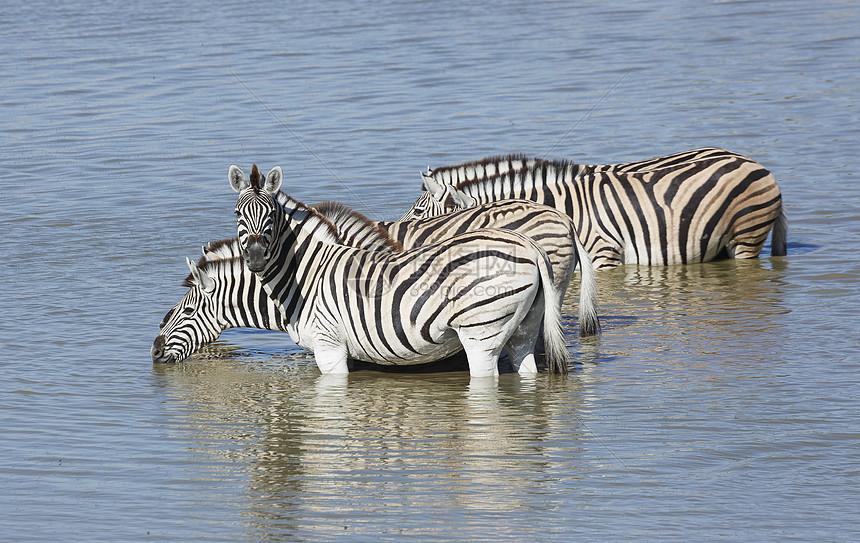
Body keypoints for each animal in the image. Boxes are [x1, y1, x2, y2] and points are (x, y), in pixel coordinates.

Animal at [228, 165, 572, 378]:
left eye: (271, 214)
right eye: (237, 214)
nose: (255, 258)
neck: (309, 272)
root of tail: (529, 245)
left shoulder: (330, 349)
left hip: (482, 331)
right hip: (525, 327)